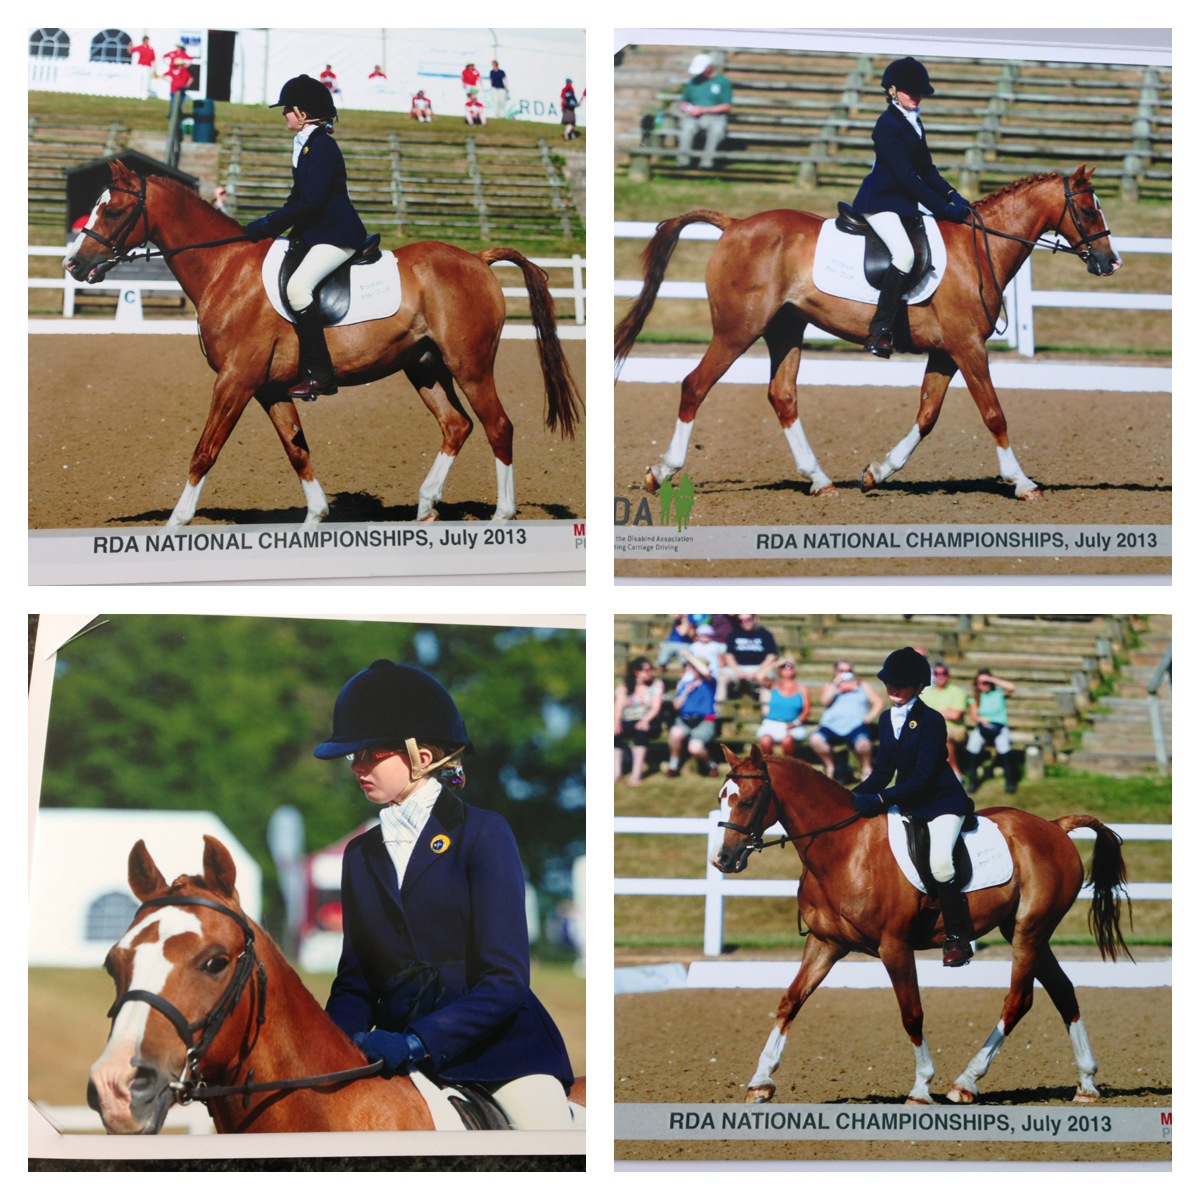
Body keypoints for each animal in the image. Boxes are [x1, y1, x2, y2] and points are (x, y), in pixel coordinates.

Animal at [62, 159, 581, 527]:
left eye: (113, 209)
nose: (73, 264)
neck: (226, 270)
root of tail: (477, 258)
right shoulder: (269, 389)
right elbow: (298, 450)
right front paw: (316, 516)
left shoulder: (236, 380)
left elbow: (205, 450)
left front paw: (176, 520)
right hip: (425, 366)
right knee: (457, 426)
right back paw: (426, 505)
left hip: (469, 365)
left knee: (498, 426)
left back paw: (502, 516)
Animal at [615, 165, 1121, 501]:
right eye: (1087, 210)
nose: (1111, 262)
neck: (979, 248)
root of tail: (736, 224)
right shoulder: (967, 346)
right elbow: (994, 414)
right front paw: (1023, 483)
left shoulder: (947, 352)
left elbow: (927, 415)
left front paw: (878, 472)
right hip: (738, 329)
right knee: (695, 385)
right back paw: (661, 473)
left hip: (785, 328)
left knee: (783, 396)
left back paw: (820, 481)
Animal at [713, 745, 1132, 1106]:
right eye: (721, 797)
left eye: (748, 799)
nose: (723, 859)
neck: (844, 849)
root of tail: (1055, 826)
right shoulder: (825, 944)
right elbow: (789, 1002)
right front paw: (760, 1082)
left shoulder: (894, 946)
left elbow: (911, 1013)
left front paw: (920, 1087)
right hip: (1023, 930)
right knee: (1063, 991)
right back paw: (1087, 1084)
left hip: (1029, 931)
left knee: (1019, 1000)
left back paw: (965, 1083)